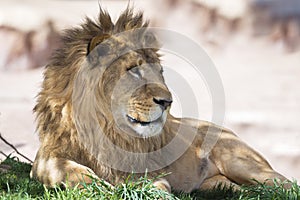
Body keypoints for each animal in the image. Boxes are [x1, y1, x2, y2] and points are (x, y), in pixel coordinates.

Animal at [29, 7, 288, 193]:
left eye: (159, 72)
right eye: (133, 70)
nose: (167, 102)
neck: (104, 129)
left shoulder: (145, 169)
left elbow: (156, 186)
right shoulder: (45, 157)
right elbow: (67, 170)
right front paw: (95, 184)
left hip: (240, 161)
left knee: (284, 183)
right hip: (216, 183)